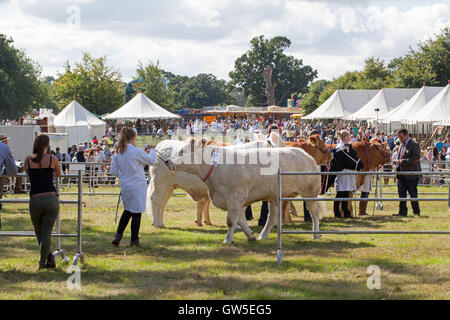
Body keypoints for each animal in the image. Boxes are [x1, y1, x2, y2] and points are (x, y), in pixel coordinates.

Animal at [171, 138, 324, 245]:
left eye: (181, 151)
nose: (167, 161)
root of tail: (307, 156)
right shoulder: (238, 201)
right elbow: (240, 219)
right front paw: (250, 235)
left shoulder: (236, 197)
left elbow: (231, 221)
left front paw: (227, 240)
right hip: (274, 197)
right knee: (272, 217)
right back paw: (263, 235)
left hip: (310, 192)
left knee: (314, 213)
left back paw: (316, 234)